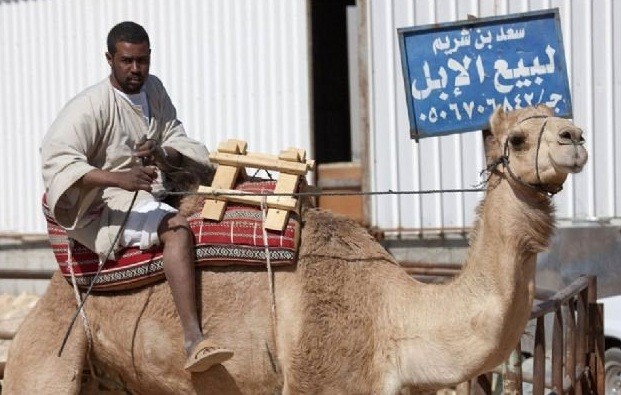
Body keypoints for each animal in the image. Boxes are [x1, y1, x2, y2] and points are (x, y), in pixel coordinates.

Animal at [3, 106, 588, 395]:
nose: (575, 137)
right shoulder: (324, 378)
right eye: (517, 139)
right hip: (48, 354)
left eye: (561, 113)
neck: (396, 319)